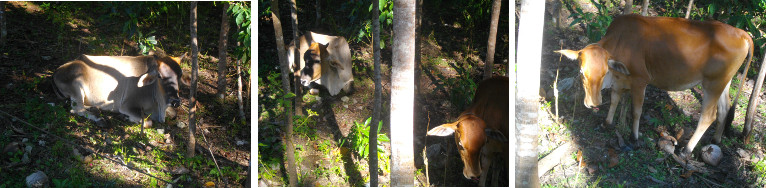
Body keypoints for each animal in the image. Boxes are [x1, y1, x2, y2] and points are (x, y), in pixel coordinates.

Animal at [53, 54, 190, 128]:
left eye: (179, 76)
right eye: (160, 76)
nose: (175, 101)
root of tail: (56, 71)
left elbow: (173, 114)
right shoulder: (127, 106)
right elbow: (148, 121)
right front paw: (126, 117)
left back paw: (95, 108)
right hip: (77, 88)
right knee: (77, 109)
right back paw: (100, 119)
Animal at [560, 14, 756, 158]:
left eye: (603, 73)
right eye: (582, 72)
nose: (593, 103)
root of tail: (741, 32)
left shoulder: (640, 80)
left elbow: (636, 111)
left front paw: (634, 137)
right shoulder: (620, 80)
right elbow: (615, 100)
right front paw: (607, 123)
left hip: (712, 83)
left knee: (708, 116)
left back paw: (686, 150)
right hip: (724, 82)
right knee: (724, 110)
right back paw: (716, 140)